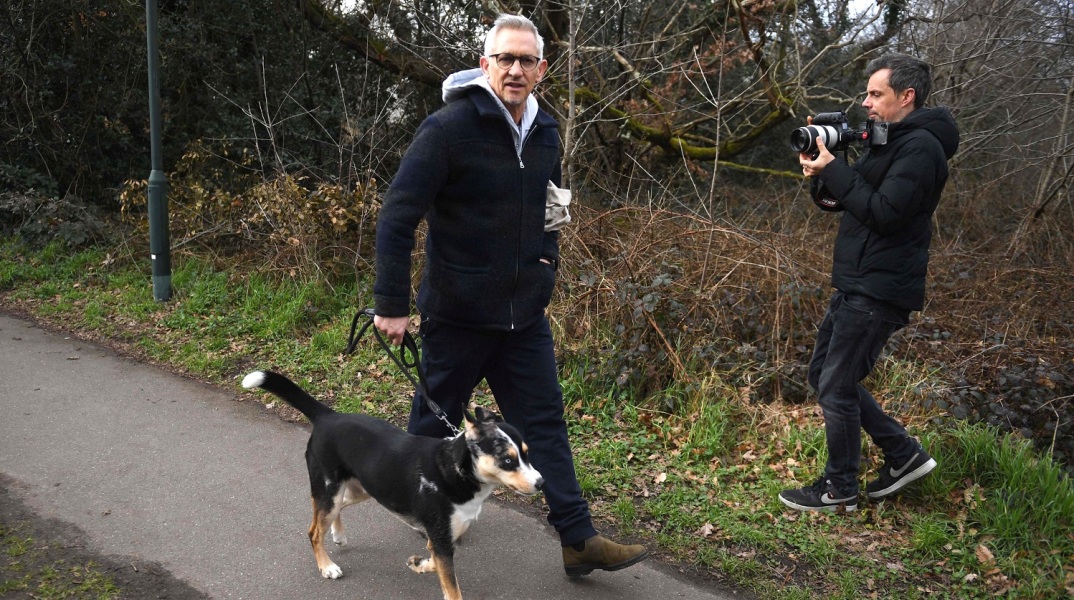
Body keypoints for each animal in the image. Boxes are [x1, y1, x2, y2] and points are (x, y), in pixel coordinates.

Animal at [244, 371, 545, 600]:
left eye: (527, 453)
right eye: (508, 460)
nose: (541, 483)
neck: (454, 471)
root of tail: (327, 416)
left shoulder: (442, 540)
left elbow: (434, 565)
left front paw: (418, 564)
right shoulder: (441, 540)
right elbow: (452, 588)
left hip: (360, 489)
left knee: (332, 510)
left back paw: (338, 534)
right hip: (331, 490)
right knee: (314, 530)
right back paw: (327, 566)